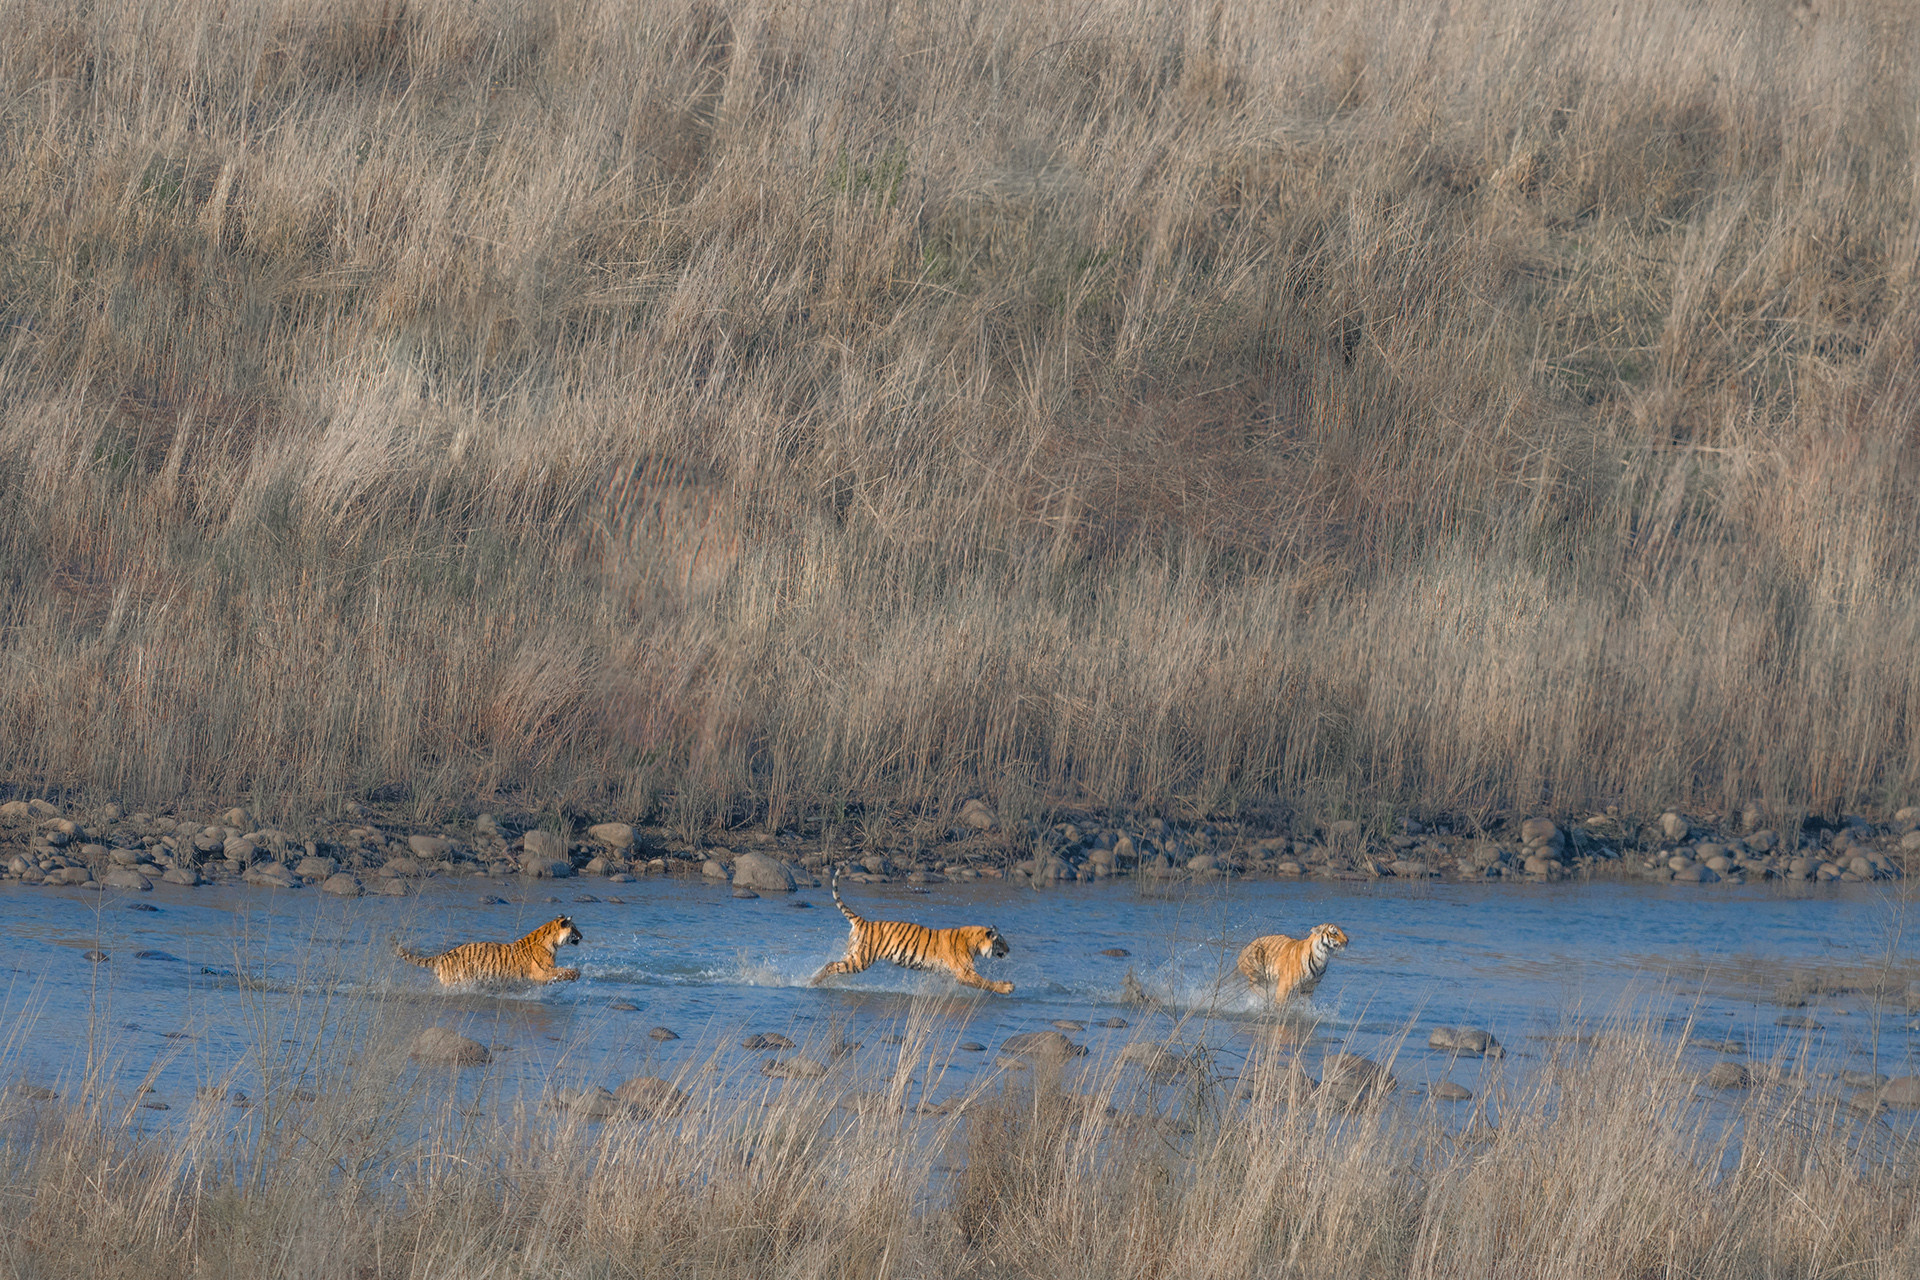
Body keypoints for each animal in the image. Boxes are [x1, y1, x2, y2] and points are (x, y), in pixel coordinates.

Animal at [395, 916, 585, 987]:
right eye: (574, 928)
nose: (582, 936)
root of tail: (445, 954)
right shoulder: (542, 972)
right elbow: (562, 972)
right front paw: (576, 973)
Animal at [810, 871, 1014, 994]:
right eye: (1001, 941)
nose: (1009, 950)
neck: (975, 943)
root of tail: (863, 921)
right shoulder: (965, 972)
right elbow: (985, 982)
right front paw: (1007, 987)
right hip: (861, 959)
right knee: (831, 965)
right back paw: (811, 983)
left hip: (853, 953)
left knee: (832, 965)